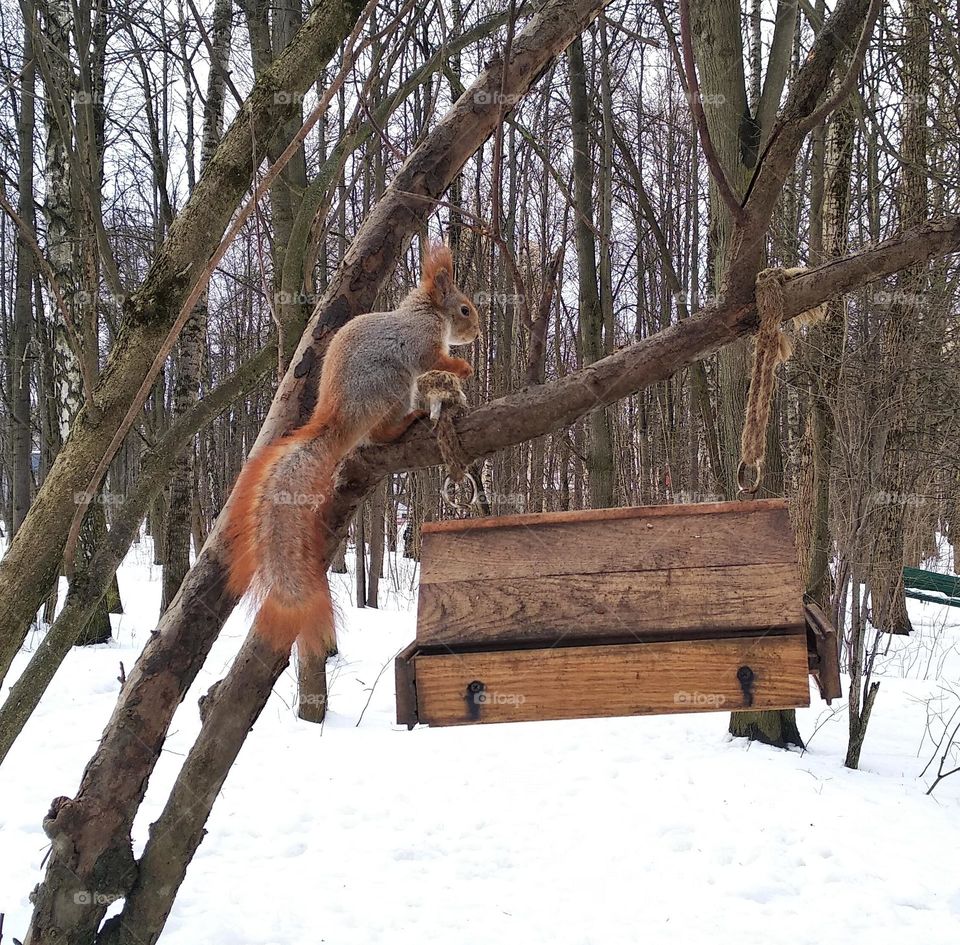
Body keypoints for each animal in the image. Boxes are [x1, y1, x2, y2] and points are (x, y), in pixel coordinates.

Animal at [225, 244, 479, 656]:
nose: (477, 332)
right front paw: (462, 367)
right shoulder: (423, 342)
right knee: (381, 432)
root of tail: (340, 419)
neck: (426, 312)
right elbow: (433, 361)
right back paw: (408, 419)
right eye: (465, 309)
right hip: (392, 385)